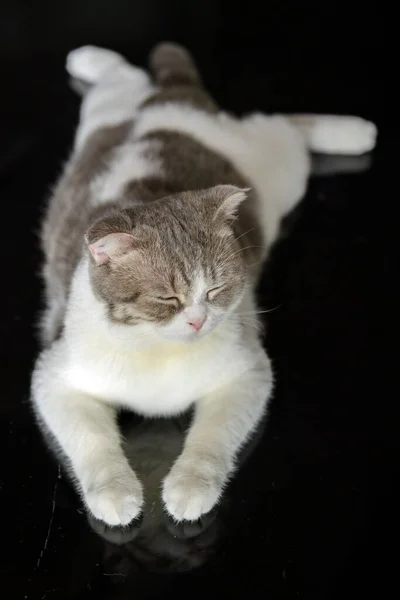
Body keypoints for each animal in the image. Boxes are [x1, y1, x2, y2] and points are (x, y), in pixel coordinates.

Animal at [30, 42, 376, 524]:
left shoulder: (247, 373)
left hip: (278, 168)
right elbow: (93, 440)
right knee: (124, 78)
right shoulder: (56, 378)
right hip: (102, 113)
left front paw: (190, 487)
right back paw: (89, 59)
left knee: (283, 124)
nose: (197, 321)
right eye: (166, 297)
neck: (158, 353)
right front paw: (115, 492)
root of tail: (172, 98)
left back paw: (352, 131)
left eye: (215, 289)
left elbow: (211, 440)